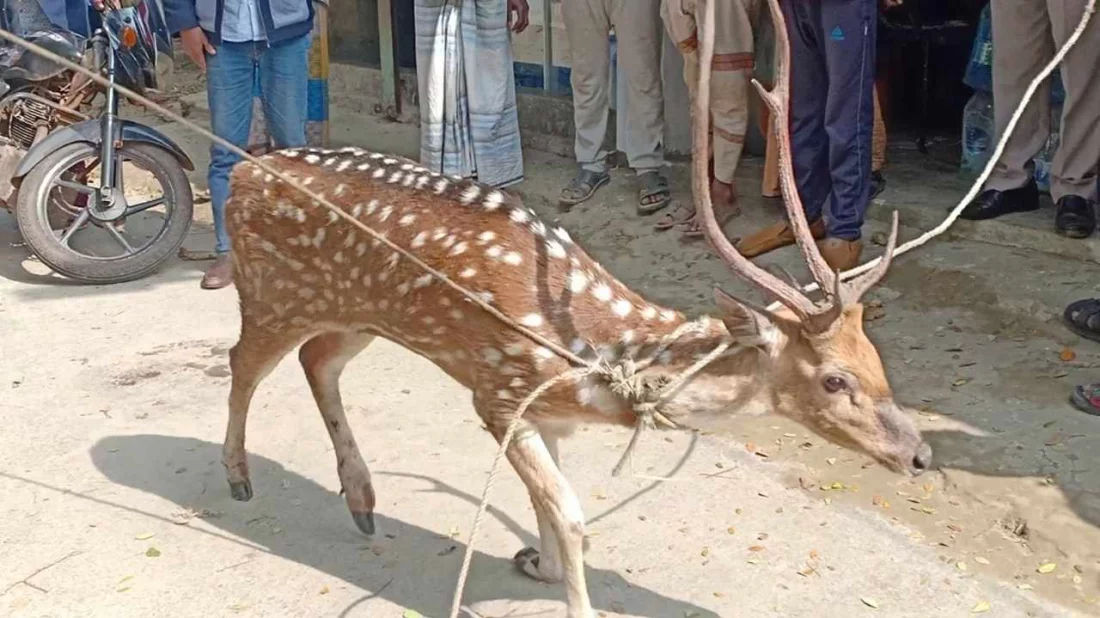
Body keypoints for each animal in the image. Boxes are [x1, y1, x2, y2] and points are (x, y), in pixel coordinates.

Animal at [221, 0, 928, 611]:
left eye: (877, 361)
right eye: (834, 379)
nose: (921, 455)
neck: (593, 363)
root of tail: (241, 173)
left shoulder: (544, 415)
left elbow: (550, 507)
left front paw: (536, 561)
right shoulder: (499, 394)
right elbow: (571, 514)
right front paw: (566, 589)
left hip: (356, 312)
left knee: (318, 360)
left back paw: (363, 502)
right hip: (270, 291)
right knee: (242, 362)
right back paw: (238, 477)